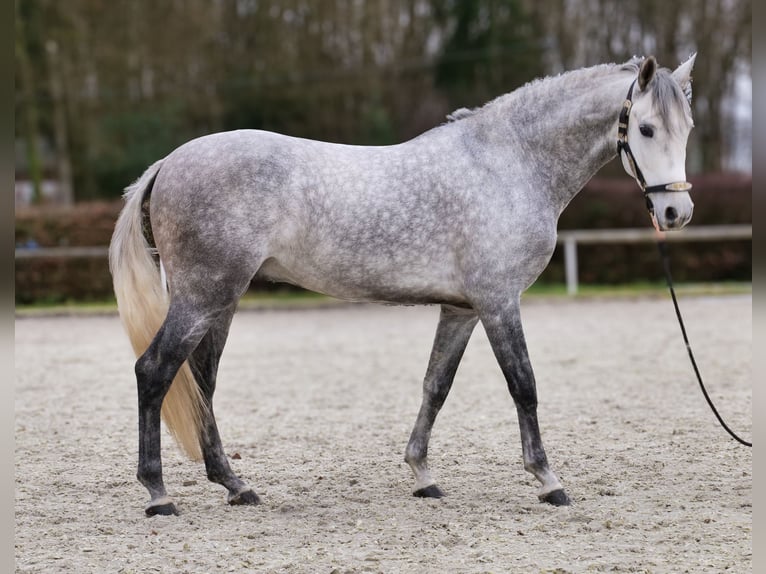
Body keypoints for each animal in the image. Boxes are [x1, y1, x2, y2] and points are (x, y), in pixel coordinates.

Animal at [109, 54, 697, 516]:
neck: (508, 164)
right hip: (202, 297)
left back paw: (235, 486)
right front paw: (548, 481)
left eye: (687, 128)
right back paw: (159, 494)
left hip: (220, 301)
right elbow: (524, 385)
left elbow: (435, 386)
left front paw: (422, 476)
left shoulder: (462, 309)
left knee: (201, 384)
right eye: (646, 129)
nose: (676, 213)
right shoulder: (499, 302)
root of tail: (169, 163)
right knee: (154, 372)